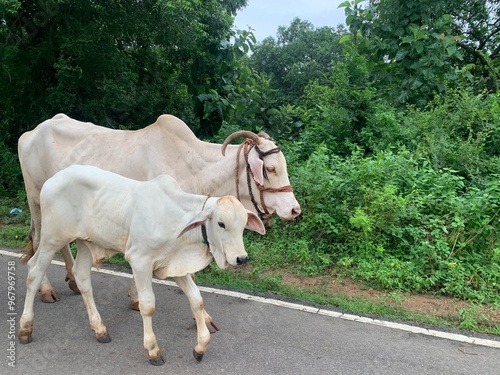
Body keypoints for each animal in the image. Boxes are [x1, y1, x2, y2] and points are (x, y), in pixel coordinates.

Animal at [18, 113, 300, 306]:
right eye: (271, 168)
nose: (294, 209)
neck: (194, 169)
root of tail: (31, 132)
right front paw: (137, 298)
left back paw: (74, 281)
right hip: (36, 201)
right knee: (38, 241)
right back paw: (46, 290)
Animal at [20, 166, 268, 366]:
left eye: (243, 225)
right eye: (221, 223)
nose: (241, 258)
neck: (175, 218)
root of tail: (52, 180)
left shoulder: (174, 265)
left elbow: (197, 300)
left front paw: (200, 346)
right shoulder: (139, 261)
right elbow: (147, 305)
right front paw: (153, 350)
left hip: (85, 242)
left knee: (80, 277)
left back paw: (99, 329)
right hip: (52, 238)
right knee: (34, 271)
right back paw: (25, 327)